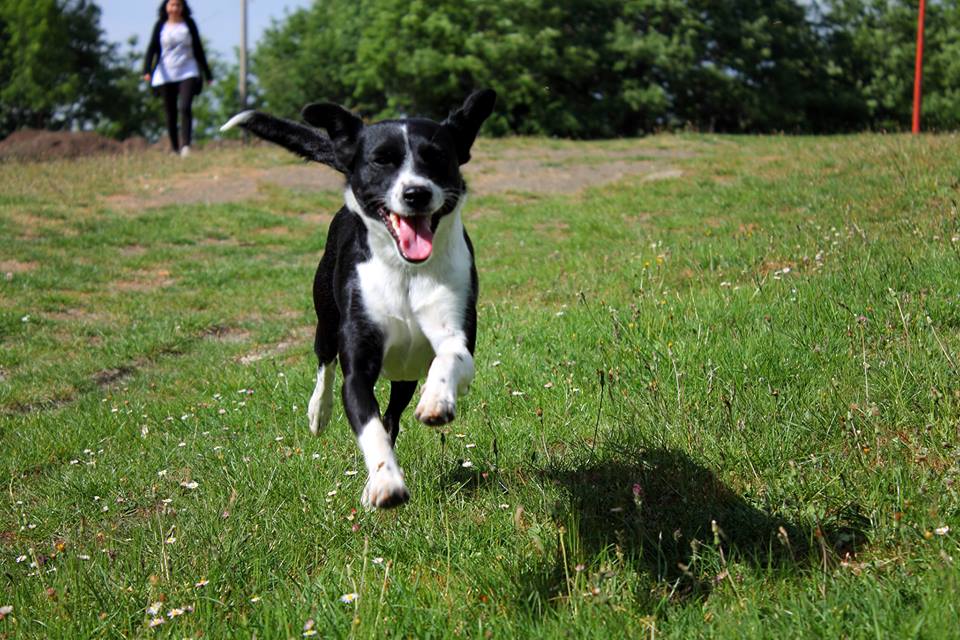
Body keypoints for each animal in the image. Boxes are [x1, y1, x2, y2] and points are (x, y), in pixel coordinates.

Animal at [222, 91, 498, 510]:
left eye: (437, 157)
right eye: (381, 160)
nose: (416, 193)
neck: (405, 272)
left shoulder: (456, 329)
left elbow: (450, 358)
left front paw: (437, 399)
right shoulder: (359, 361)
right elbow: (366, 419)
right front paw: (385, 482)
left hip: (404, 375)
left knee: (393, 416)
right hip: (326, 318)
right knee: (326, 363)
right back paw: (319, 413)